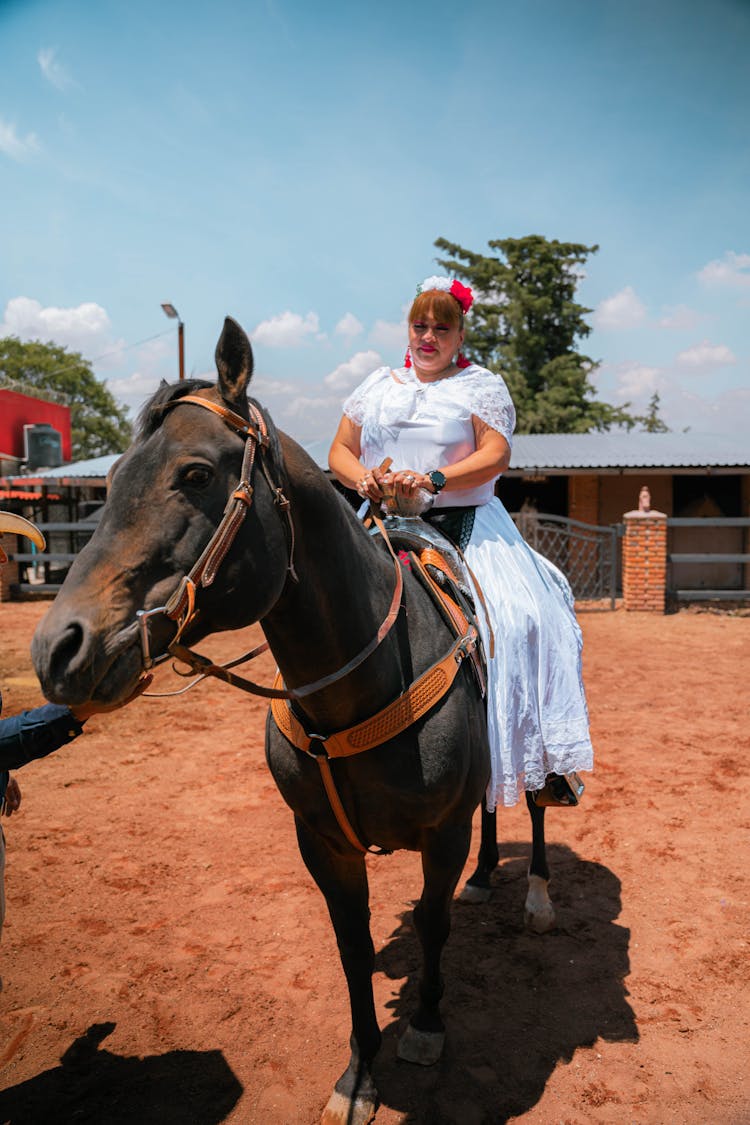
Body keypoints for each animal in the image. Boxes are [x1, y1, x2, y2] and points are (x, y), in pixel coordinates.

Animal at [32, 317, 555, 1125]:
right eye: (110, 480)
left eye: (195, 474)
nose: (60, 648)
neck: (364, 681)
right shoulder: (323, 844)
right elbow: (352, 948)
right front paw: (358, 1076)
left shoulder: (440, 833)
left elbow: (432, 924)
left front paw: (426, 1028)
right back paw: (484, 878)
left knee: (531, 802)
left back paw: (535, 895)